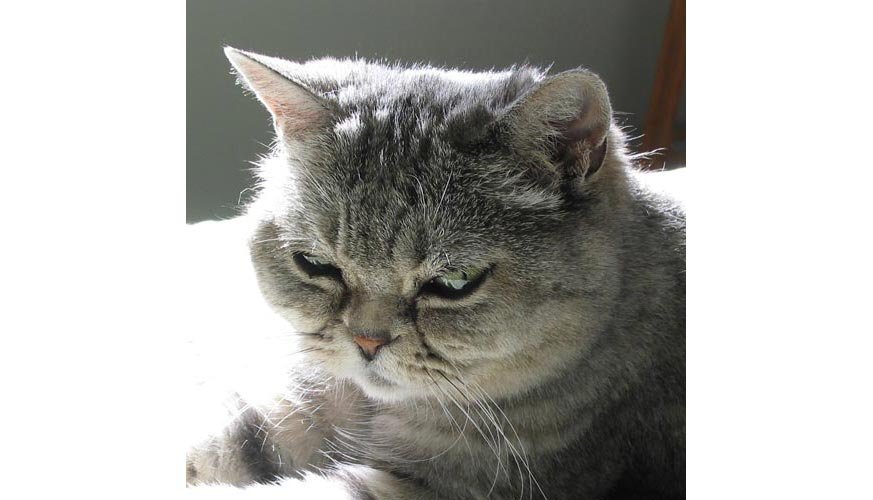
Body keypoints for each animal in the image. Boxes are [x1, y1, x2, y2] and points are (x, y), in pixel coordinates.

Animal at [186, 47, 686, 500]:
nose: (367, 341)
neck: (373, 410)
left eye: (454, 283)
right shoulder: (284, 414)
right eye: (316, 265)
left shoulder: (436, 488)